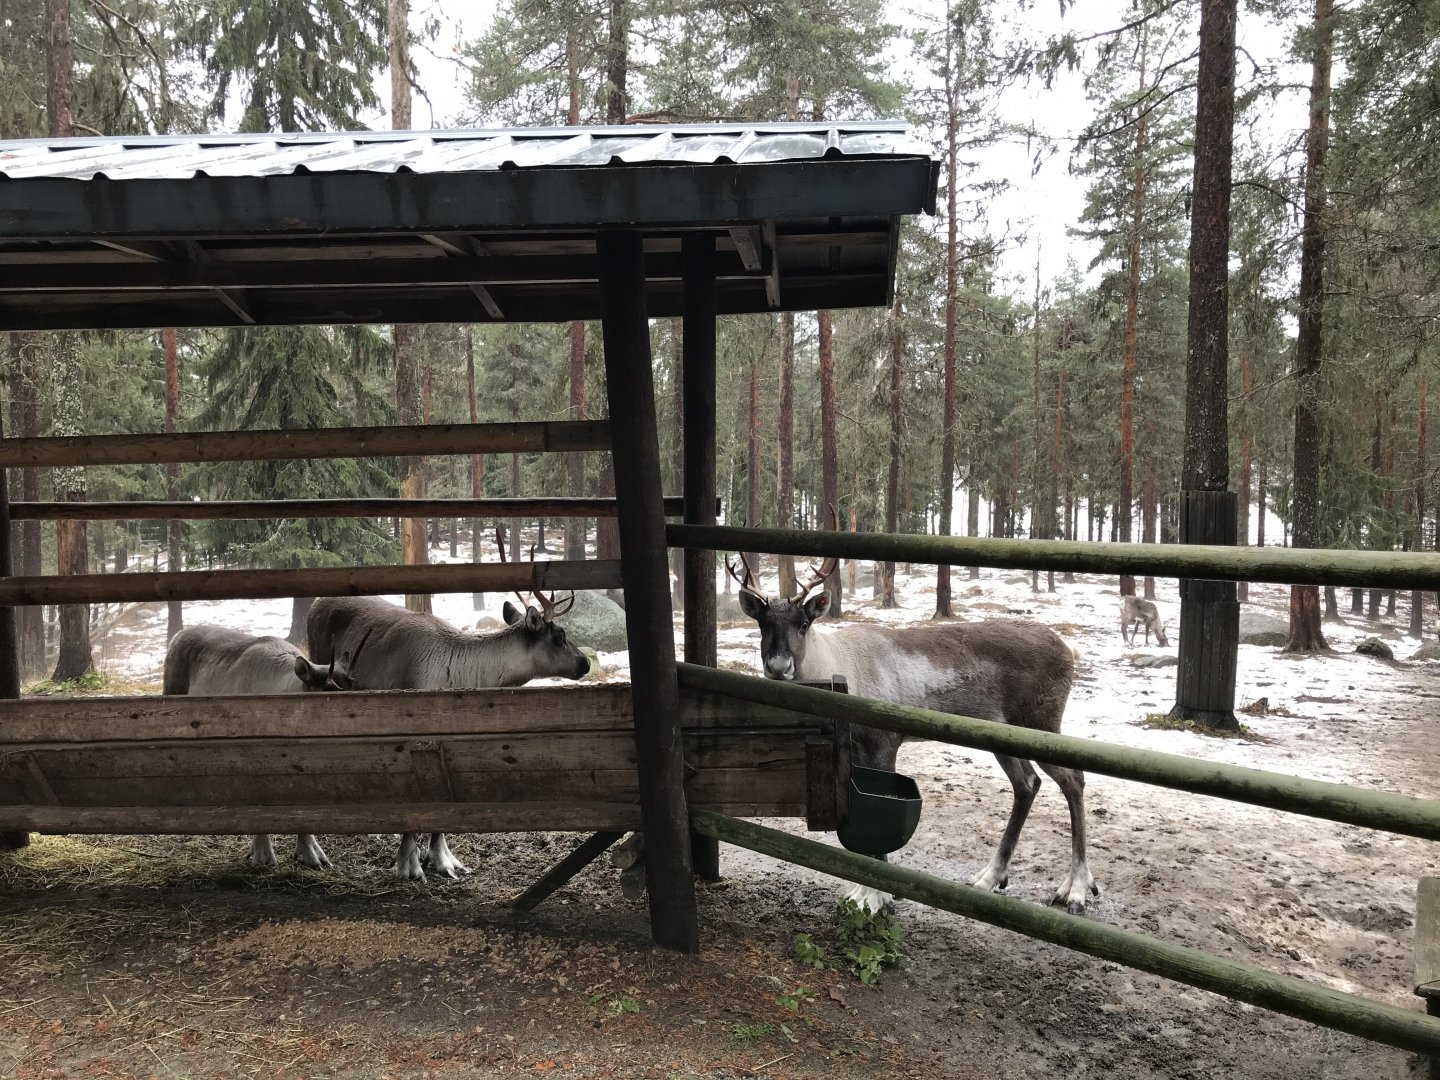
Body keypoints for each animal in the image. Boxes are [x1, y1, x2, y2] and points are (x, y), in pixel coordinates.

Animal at [728, 553, 1098, 916]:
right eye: (762, 623)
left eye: (803, 624)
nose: (778, 667)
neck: (834, 666)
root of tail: (1069, 648)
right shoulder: (856, 749)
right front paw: (861, 891)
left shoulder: (884, 743)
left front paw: (876, 898)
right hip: (1004, 736)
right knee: (1028, 784)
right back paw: (990, 877)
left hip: (1041, 725)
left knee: (1073, 779)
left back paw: (1077, 888)